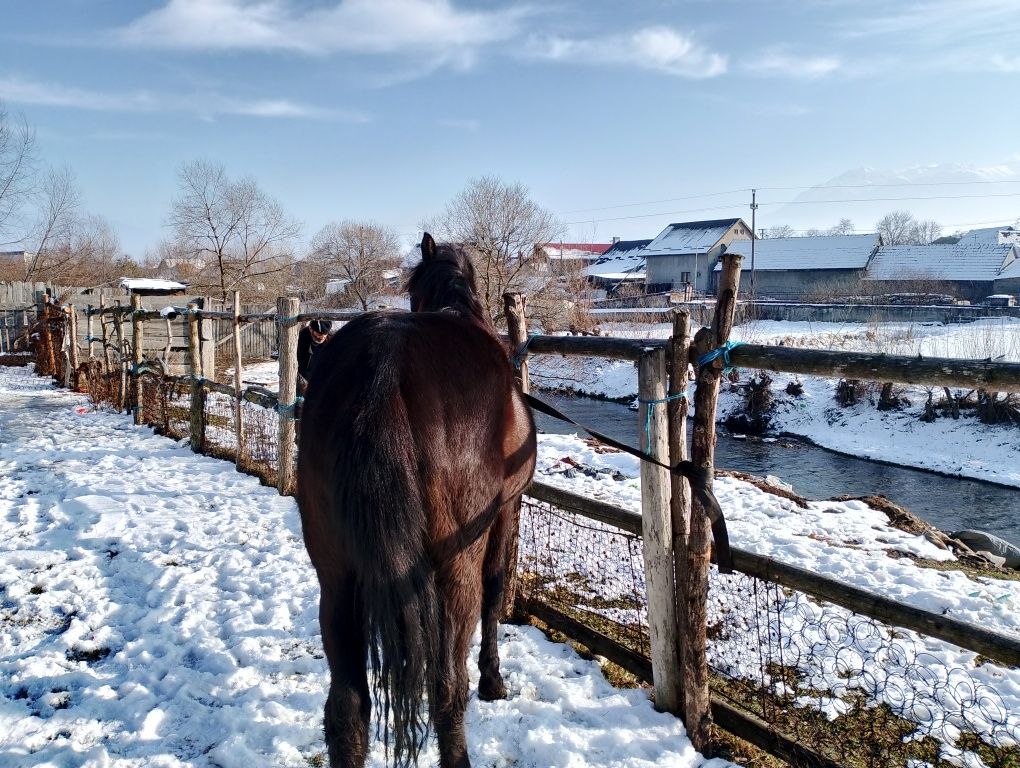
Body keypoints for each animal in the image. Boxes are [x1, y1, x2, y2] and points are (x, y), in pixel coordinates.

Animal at [295, 230, 538, 762]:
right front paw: (494, 680)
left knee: (347, 708)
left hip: (336, 576)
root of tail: (382, 372)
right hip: (454, 567)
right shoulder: (507, 511)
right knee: (447, 687)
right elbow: (496, 589)